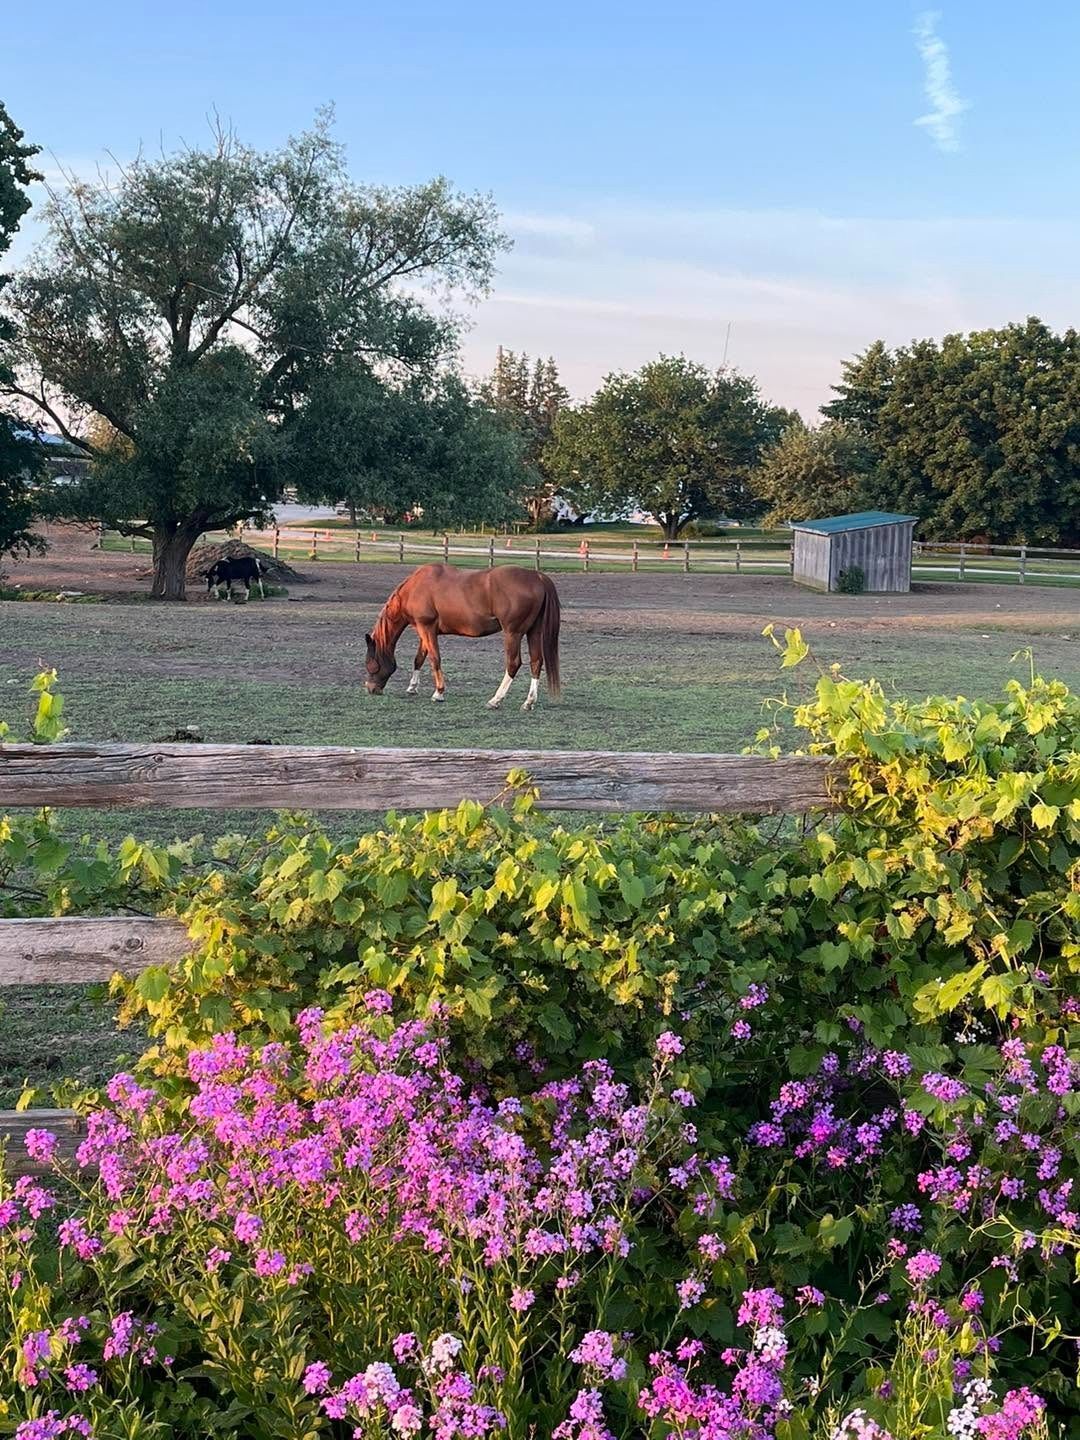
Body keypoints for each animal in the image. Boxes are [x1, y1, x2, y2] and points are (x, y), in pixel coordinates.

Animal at [364, 564, 561, 710]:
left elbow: (435, 659)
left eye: (371, 663)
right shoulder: (424, 631)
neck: (416, 587)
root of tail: (537, 576)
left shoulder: (426, 628)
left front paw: (439, 693)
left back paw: (495, 699)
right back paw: (528, 702)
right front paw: (412, 687)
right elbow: (419, 658)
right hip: (533, 632)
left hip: (513, 633)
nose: (371, 688)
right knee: (536, 662)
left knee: (513, 663)